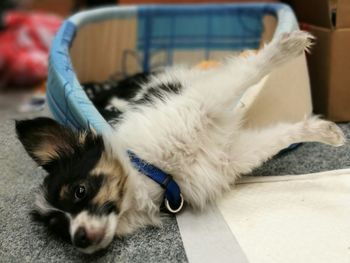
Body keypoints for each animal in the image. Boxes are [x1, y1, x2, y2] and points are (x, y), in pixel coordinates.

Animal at [15, 31, 344, 256]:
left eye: (80, 191)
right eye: (60, 229)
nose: (79, 239)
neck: (157, 172)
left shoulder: (201, 105)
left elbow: (245, 73)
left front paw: (285, 47)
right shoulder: (230, 157)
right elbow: (276, 136)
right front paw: (324, 130)